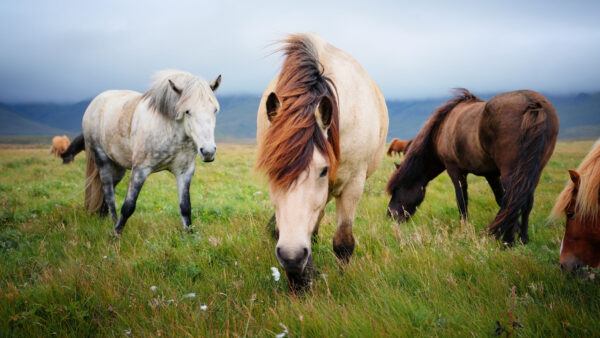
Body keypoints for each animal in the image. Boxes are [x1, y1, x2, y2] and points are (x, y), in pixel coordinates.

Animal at [79, 70, 220, 235]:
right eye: (187, 111)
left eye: (214, 110)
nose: (208, 151)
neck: (170, 130)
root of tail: (94, 104)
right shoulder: (140, 170)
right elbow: (128, 206)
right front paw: (116, 234)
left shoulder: (184, 172)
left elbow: (185, 207)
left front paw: (190, 236)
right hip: (103, 161)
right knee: (108, 193)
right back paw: (113, 222)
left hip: (118, 166)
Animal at [256, 32, 390, 290]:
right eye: (271, 172)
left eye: (323, 170)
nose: (291, 256)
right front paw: (299, 283)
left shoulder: (353, 185)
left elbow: (343, 242)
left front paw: (341, 279)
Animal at [386, 88, 560, 244]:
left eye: (396, 190)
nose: (390, 216)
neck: (443, 128)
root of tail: (532, 104)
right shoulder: (491, 174)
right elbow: (500, 199)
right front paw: (511, 227)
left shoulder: (455, 170)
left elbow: (462, 201)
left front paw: (465, 229)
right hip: (532, 172)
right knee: (525, 201)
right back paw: (523, 239)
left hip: (512, 172)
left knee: (514, 198)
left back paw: (507, 242)